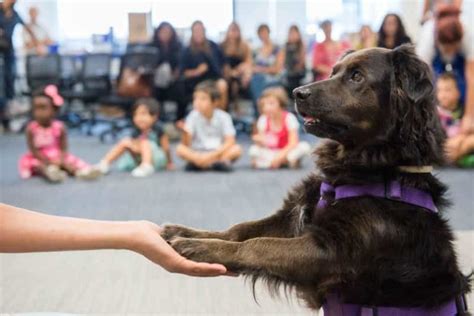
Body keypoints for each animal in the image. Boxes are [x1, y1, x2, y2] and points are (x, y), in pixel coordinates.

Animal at [162, 45, 470, 314]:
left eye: (356, 77)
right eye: (334, 71)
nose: (297, 92)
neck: (372, 168)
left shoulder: (330, 254)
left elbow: (257, 244)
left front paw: (198, 247)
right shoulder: (292, 221)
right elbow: (240, 230)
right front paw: (186, 233)